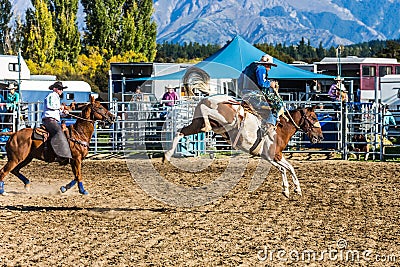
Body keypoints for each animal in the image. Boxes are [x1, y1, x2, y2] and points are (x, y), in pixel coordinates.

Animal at [164, 95, 324, 198]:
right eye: (313, 117)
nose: (321, 137)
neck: (280, 128)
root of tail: (205, 99)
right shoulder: (273, 156)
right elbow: (286, 168)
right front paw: (290, 189)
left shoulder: (273, 156)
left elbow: (287, 168)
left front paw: (292, 190)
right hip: (223, 119)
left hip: (197, 124)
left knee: (180, 131)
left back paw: (167, 155)